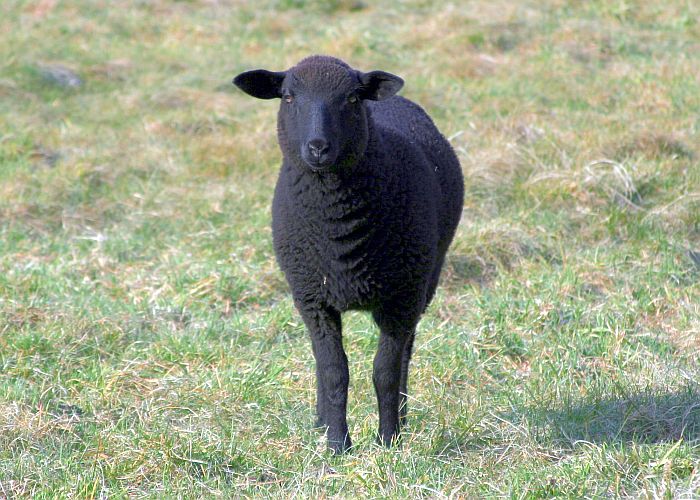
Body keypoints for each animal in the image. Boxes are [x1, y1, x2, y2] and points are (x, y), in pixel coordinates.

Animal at [233, 55, 463, 453]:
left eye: (353, 98)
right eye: (288, 97)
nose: (318, 147)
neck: (337, 231)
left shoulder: (402, 298)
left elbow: (385, 370)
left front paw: (388, 441)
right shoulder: (312, 299)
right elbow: (333, 370)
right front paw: (337, 443)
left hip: (425, 280)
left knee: (407, 352)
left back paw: (402, 417)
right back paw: (321, 420)